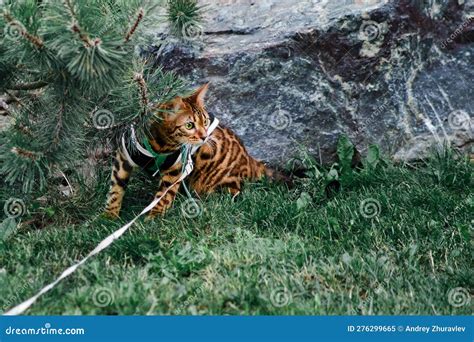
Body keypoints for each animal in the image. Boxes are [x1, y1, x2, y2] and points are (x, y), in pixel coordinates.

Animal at [105, 84, 272, 220]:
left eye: (205, 121)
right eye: (189, 125)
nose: (204, 136)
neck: (159, 146)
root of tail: (250, 159)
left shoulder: (176, 168)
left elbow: (164, 196)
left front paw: (155, 216)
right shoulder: (123, 156)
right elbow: (116, 189)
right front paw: (109, 216)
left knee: (233, 191)